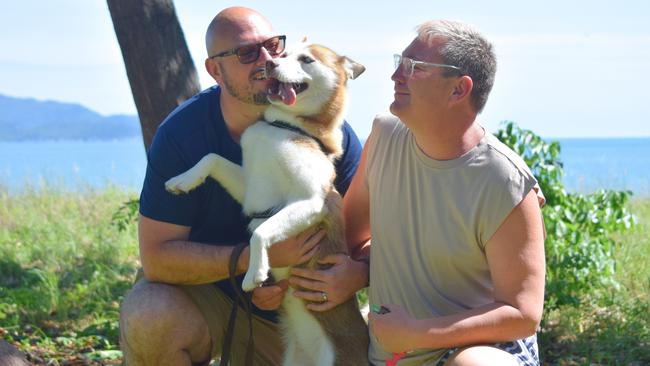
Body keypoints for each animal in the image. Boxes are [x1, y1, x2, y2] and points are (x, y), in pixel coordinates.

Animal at [165, 43, 370, 366]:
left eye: (306, 59)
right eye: (284, 53)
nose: (271, 63)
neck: (283, 126)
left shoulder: (313, 201)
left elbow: (260, 232)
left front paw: (255, 272)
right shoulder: (251, 190)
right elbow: (211, 158)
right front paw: (183, 179)